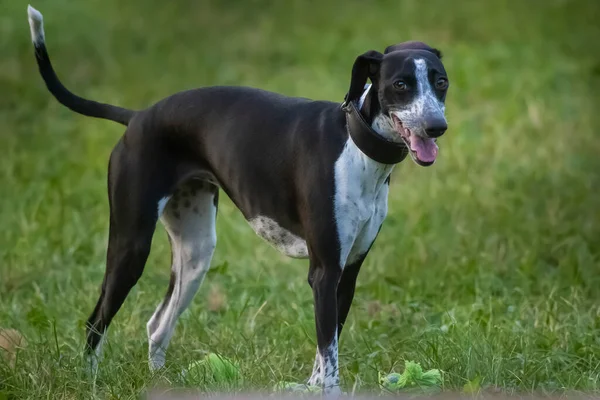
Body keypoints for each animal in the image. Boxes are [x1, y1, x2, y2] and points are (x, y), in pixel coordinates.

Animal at [28, 4, 450, 396]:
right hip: (130, 247)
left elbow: (324, 354)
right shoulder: (325, 272)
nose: (437, 126)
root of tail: (137, 117)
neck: (355, 147)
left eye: (441, 82)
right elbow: (329, 359)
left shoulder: (346, 274)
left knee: (157, 325)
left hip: (195, 253)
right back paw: (90, 381)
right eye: (400, 84)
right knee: (96, 321)